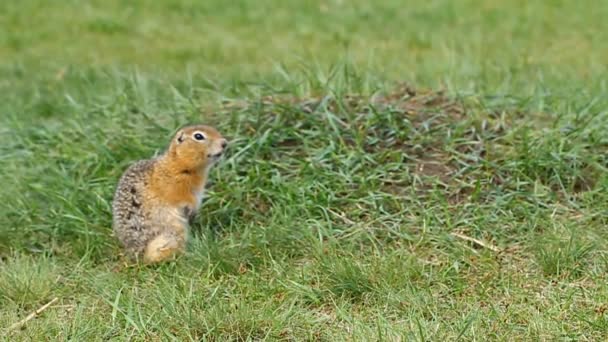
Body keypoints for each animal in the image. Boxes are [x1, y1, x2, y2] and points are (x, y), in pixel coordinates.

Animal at [112, 124, 228, 264]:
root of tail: (136, 254)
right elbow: (182, 199)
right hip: (173, 233)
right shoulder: (175, 188)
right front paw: (190, 209)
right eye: (198, 136)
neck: (177, 163)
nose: (224, 143)